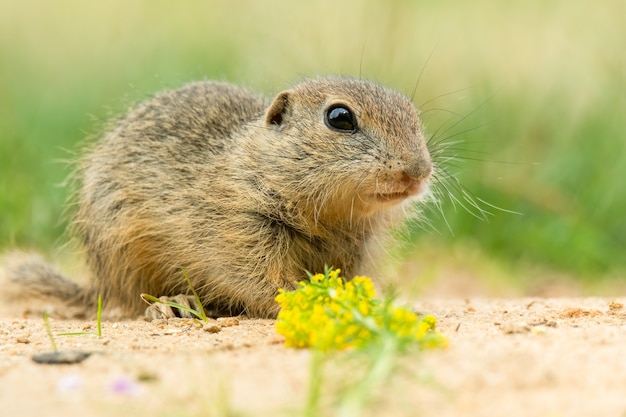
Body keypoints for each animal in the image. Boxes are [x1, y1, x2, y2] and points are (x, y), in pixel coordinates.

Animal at [1, 76, 428, 316]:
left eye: (414, 116)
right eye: (340, 117)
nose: (418, 172)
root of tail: (97, 286)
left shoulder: (357, 246)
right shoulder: (238, 231)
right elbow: (260, 281)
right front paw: (308, 301)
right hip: (123, 251)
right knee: (134, 298)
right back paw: (173, 306)